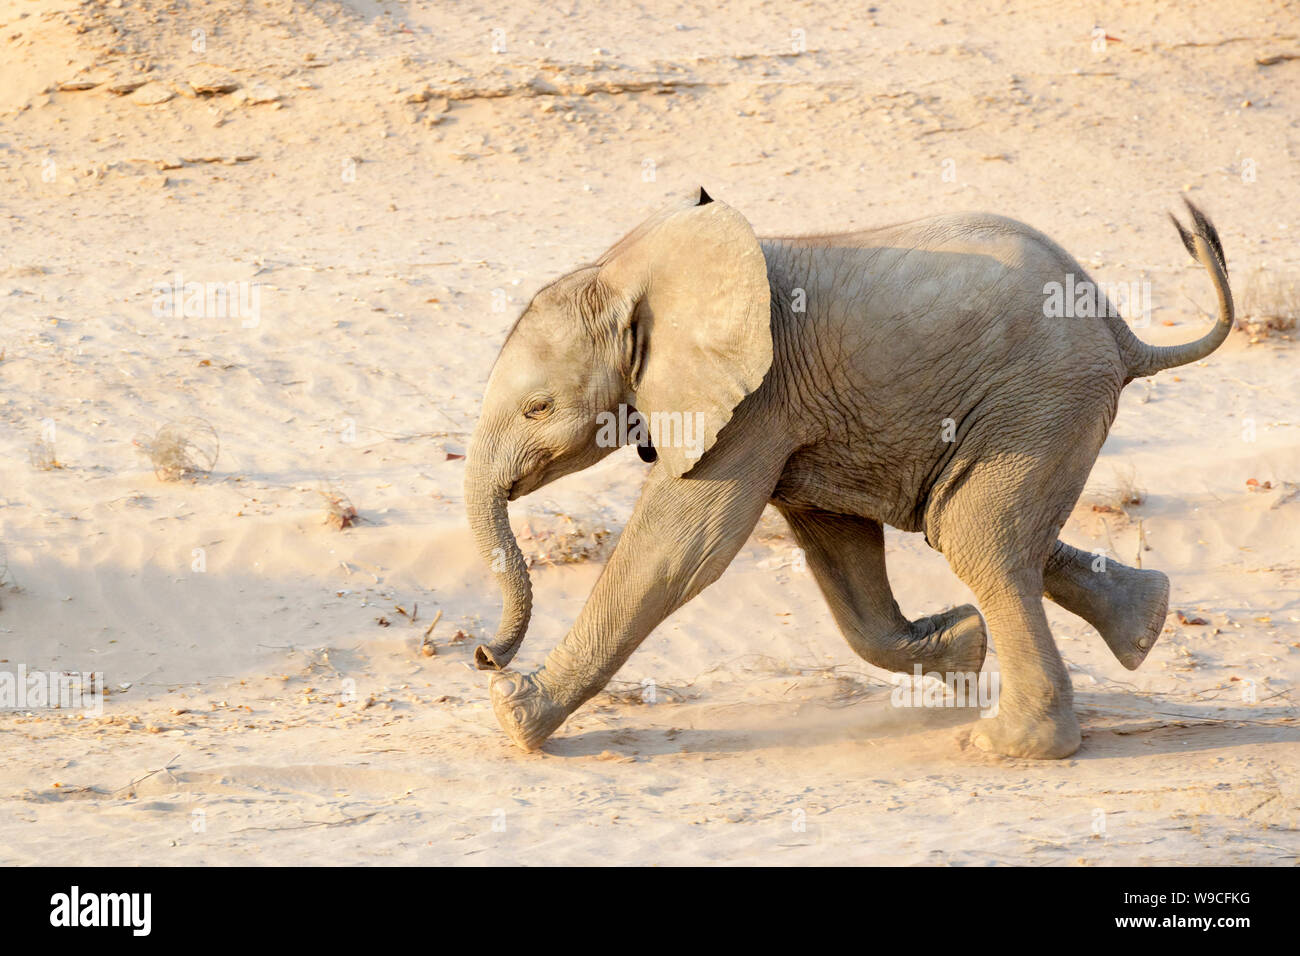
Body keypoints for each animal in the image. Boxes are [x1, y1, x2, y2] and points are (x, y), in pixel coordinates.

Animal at [464, 188, 1232, 759]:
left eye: (537, 408)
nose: (483, 655)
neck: (627, 273)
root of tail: (1123, 334)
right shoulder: (796, 414)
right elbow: (837, 547)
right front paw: (961, 647)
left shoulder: (757, 402)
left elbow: (683, 548)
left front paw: (514, 716)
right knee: (978, 529)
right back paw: (1144, 623)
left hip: (1038, 398)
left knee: (974, 536)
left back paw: (1008, 745)